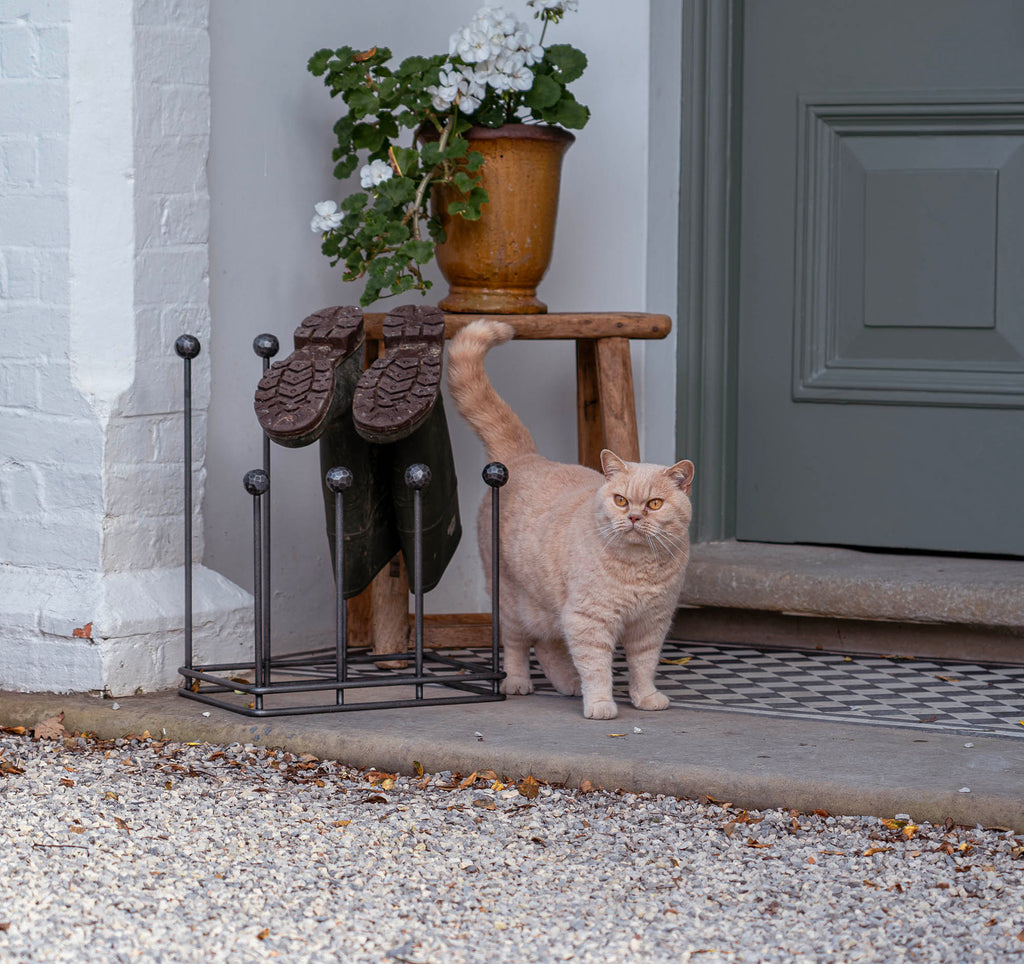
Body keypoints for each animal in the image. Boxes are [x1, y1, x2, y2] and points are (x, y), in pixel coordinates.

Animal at [448, 319, 696, 717]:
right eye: (621, 500)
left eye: (655, 504)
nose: (634, 517)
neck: (639, 569)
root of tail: (525, 457)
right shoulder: (589, 620)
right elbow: (597, 667)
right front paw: (601, 703)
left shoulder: (651, 624)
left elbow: (644, 665)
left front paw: (645, 698)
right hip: (511, 601)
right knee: (517, 644)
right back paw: (519, 683)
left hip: (548, 606)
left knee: (548, 644)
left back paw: (568, 685)